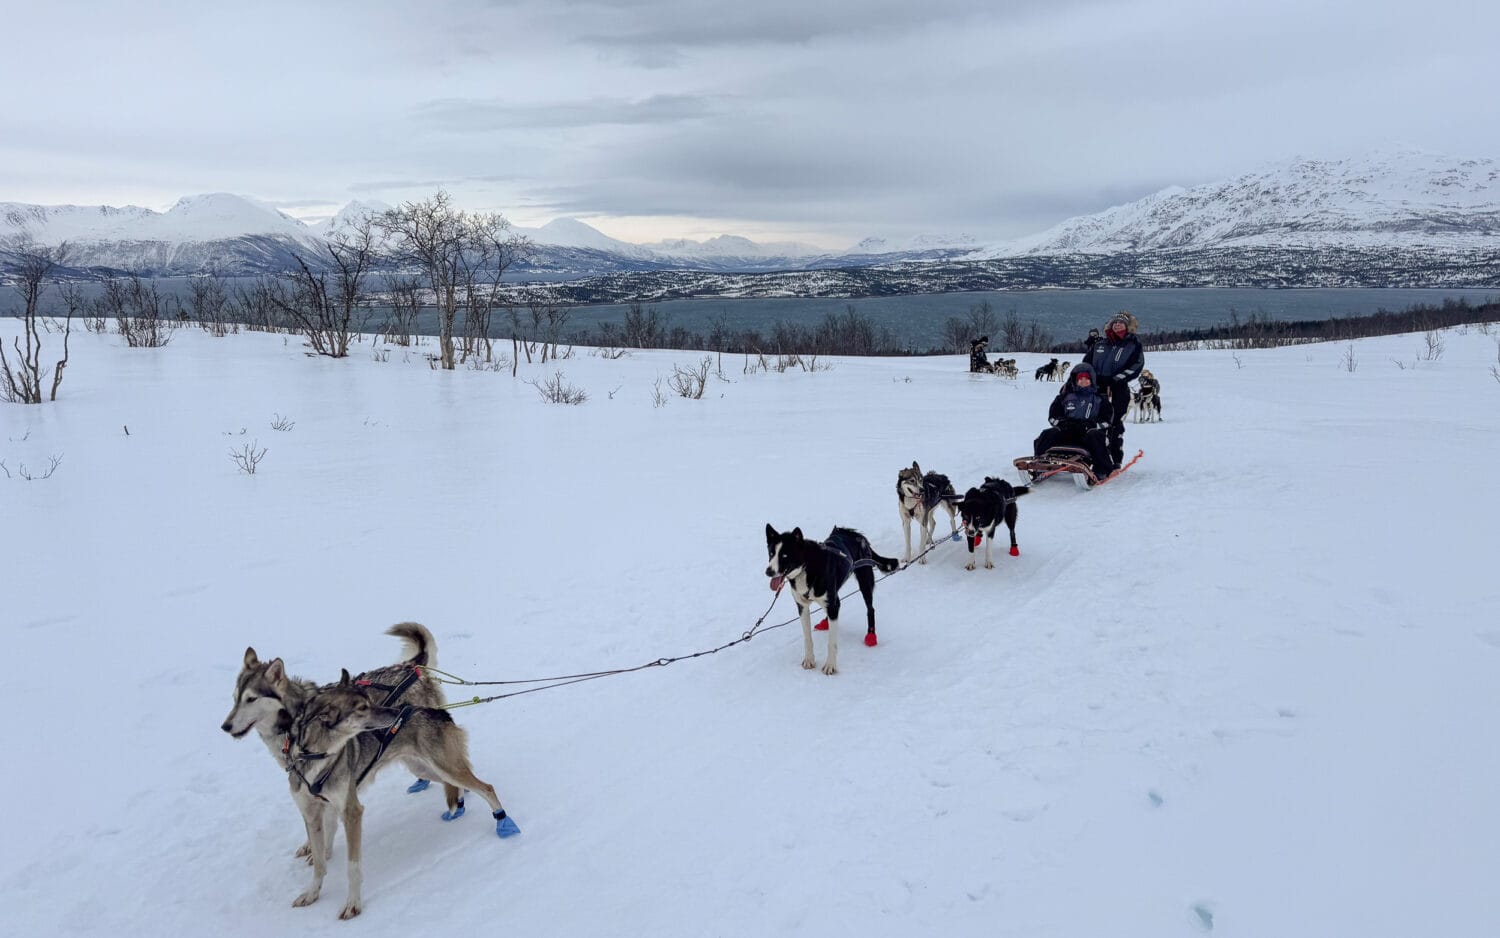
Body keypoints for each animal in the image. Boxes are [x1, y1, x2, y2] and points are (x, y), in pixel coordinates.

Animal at [219, 621, 444, 864]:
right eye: (235, 699)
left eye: (251, 699)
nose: (226, 726)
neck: (295, 719)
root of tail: (410, 666)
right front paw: (313, 846)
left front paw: (322, 852)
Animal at [285, 669, 522, 918]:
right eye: (362, 708)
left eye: (368, 701)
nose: (394, 712)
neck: (316, 757)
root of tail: (436, 710)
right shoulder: (312, 816)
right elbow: (319, 863)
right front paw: (311, 894)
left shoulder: (352, 812)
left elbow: (353, 867)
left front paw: (353, 904)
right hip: (425, 769)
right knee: (457, 786)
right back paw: (457, 808)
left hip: (445, 768)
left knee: (486, 787)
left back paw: (503, 822)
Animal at [768, 522, 894, 669]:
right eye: (771, 553)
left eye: (785, 555)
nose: (768, 571)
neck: (807, 567)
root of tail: (857, 534)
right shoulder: (802, 606)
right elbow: (807, 638)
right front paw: (809, 659)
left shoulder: (833, 605)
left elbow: (831, 642)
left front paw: (830, 665)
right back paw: (825, 622)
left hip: (865, 581)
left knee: (870, 609)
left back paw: (871, 636)